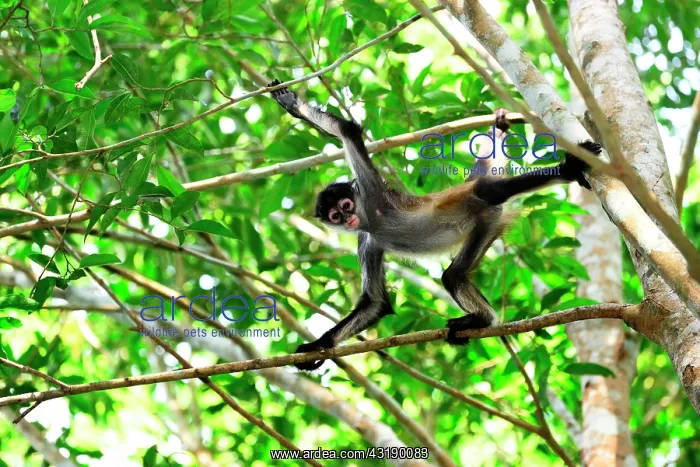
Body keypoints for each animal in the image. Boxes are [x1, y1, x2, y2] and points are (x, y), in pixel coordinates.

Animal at [268, 79, 601, 371]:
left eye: (346, 205)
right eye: (334, 216)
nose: (346, 217)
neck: (371, 219)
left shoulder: (372, 192)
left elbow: (348, 130)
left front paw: (293, 104)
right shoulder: (367, 239)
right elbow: (375, 303)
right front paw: (316, 347)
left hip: (476, 200)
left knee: (488, 195)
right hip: (485, 224)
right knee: (454, 274)